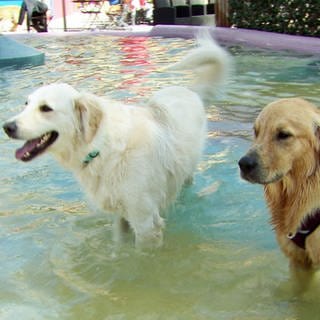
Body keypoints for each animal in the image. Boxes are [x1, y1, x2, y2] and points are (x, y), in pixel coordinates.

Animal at [1, 35, 229, 250]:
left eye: (46, 108)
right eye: (26, 104)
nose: (7, 127)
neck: (101, 148)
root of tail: (188, 90)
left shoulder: (145, 222)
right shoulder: (121, 215)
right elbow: (118, 244)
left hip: (186, 172)